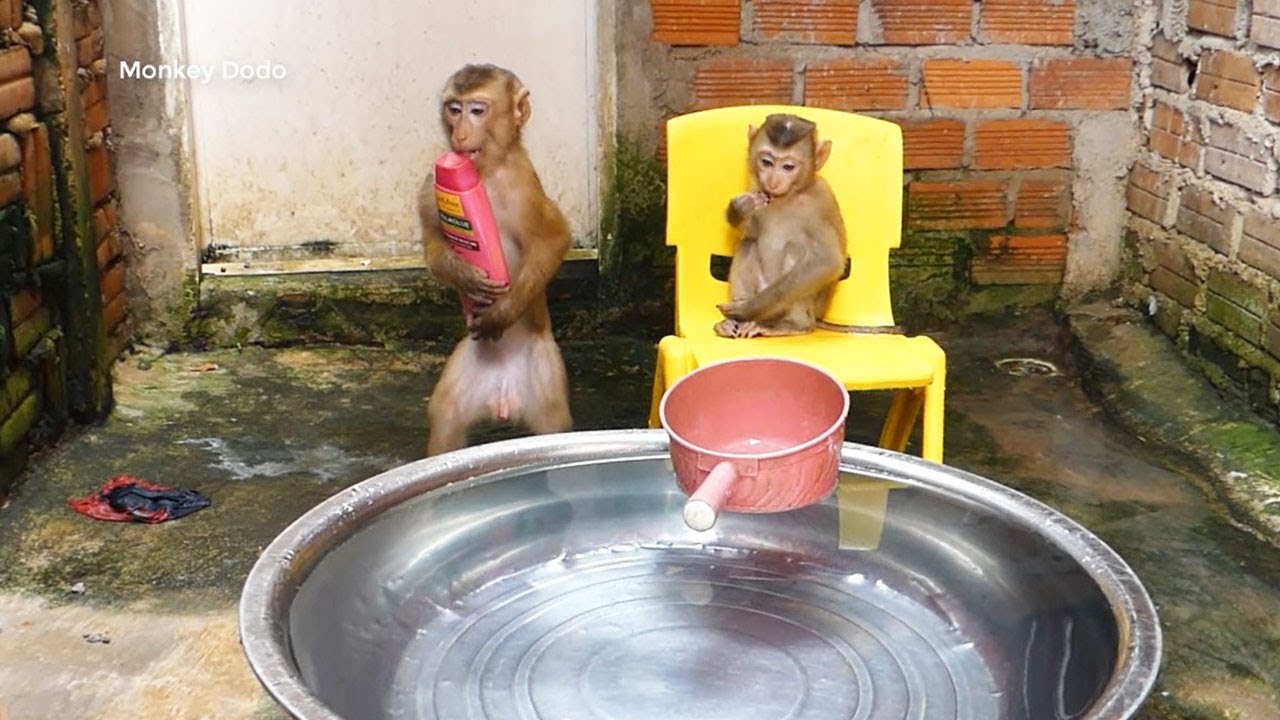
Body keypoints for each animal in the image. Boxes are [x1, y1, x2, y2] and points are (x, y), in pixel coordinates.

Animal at [419, 64, 572, 455]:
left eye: (477, 110)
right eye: (453, 109)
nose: (460, 133)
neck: (486, 172)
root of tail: (503, 396)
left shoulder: (524, 188)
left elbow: (554, 238)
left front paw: (501, 312)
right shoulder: (430, 184)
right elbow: (433, 243)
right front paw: (467, 277)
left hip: (542, 375)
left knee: (554, 429)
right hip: (466, 375)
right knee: (446, 420)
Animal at [714, 114, 847, 339]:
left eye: (788, 167)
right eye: (767, 162)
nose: (772, 181)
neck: (788, 197)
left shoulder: (819, 203)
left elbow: (827, 260)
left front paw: (748, 309)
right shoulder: (757, 189)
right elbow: (749, 232)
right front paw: (740, 208)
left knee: (796, 249)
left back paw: (792, 324)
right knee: (748, 243)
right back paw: (732, 324)